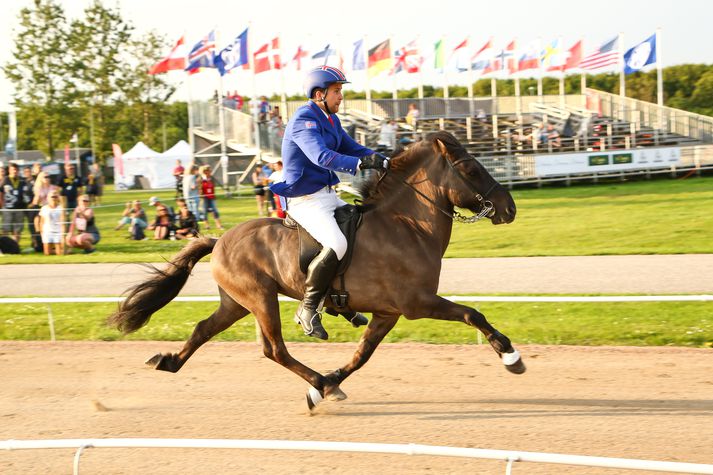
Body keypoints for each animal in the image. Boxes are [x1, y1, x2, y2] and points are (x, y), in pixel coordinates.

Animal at [110, 130, 524, 410]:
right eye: (470, 168)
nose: (510, 209)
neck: (407, 225)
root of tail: (221, 239)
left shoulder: (388, 313)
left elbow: (361, 355)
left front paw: (325, 385)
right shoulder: (418, 303)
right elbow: (472, 314)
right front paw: (510, 356)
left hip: (236, 303)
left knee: (203, 330)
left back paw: (169, 362)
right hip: (260, 299)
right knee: (274, 349)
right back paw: (318, 376)